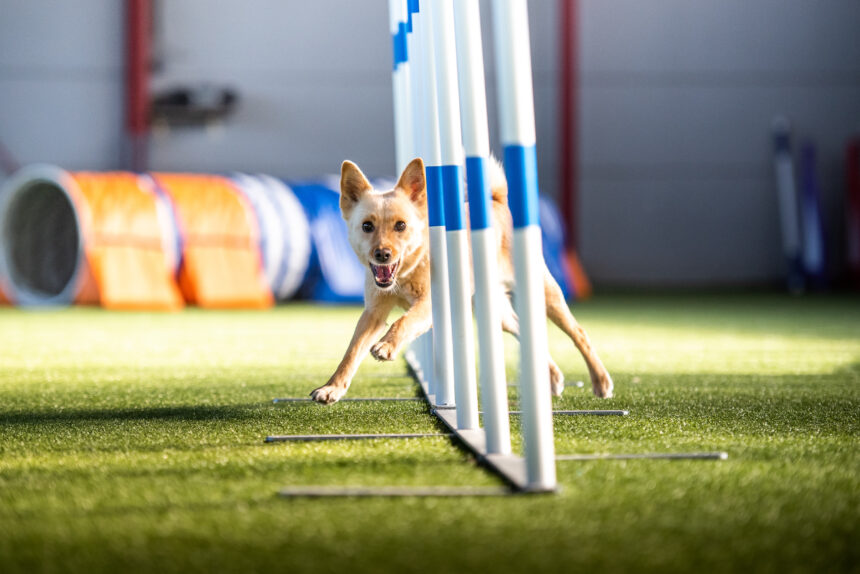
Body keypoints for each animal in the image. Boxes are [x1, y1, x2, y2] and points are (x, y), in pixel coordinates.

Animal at [312, 158, 616, 408]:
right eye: (367, 226)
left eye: (401, 226)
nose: (382, 254)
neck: (408, 272)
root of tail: (497, 201)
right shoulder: (373, 313)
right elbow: (351, 352)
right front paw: (331, 388)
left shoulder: (429, 305)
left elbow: (403, 322)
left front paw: (386, 346)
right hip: (497, 312)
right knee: (523, 329)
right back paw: (553, 377)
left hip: (546, 294)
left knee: (580, 334)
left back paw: (601, 382)